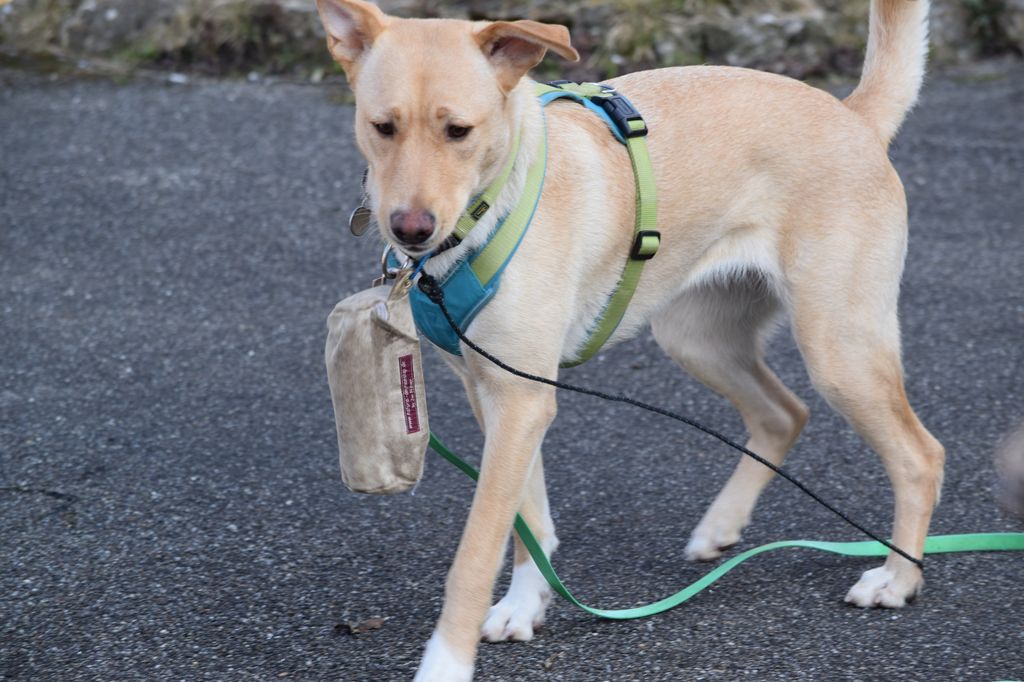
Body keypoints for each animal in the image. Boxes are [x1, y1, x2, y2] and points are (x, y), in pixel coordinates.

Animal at [315, 2, 946, 675]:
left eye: (458, 131)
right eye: (382, 127)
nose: (409, 229)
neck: (485, 208)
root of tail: (852, 114)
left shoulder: (520, 401)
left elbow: (476, 552)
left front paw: (446, 663)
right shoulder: (499, 396)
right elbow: (527, 519)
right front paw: (525, 604)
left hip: (838, 349)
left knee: (919, 456)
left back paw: (898, 578)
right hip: (697, 339)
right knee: (784, 413)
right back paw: (721, 527)